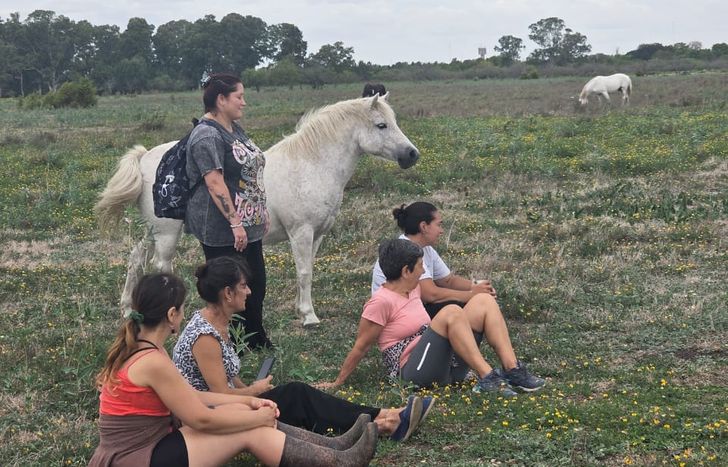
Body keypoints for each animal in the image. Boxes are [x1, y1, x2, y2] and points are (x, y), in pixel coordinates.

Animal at [95, 93, 420, 326]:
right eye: (381, 125)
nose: (412, 155)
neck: (310, 165)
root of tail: (144, 157)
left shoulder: (317, 235)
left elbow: (308, 270)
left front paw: (302, 310)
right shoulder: (301, 232)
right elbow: (304, 272)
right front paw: (309, 316)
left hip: (151, 232)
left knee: (136, 259)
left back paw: (128, 309)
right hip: (166, 234)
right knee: (162, 266)